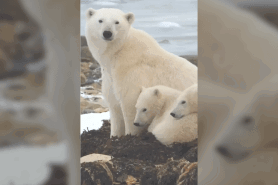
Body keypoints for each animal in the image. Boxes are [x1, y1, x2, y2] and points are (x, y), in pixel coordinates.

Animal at [86, 7, 197, 137]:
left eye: (117, 22)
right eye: (100, 20)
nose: (107, 33)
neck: (120, 53)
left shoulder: (132, 74)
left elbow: (130, 104)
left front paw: (130, 134)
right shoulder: (110, 77)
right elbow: (114, 106)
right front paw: (114, 136)